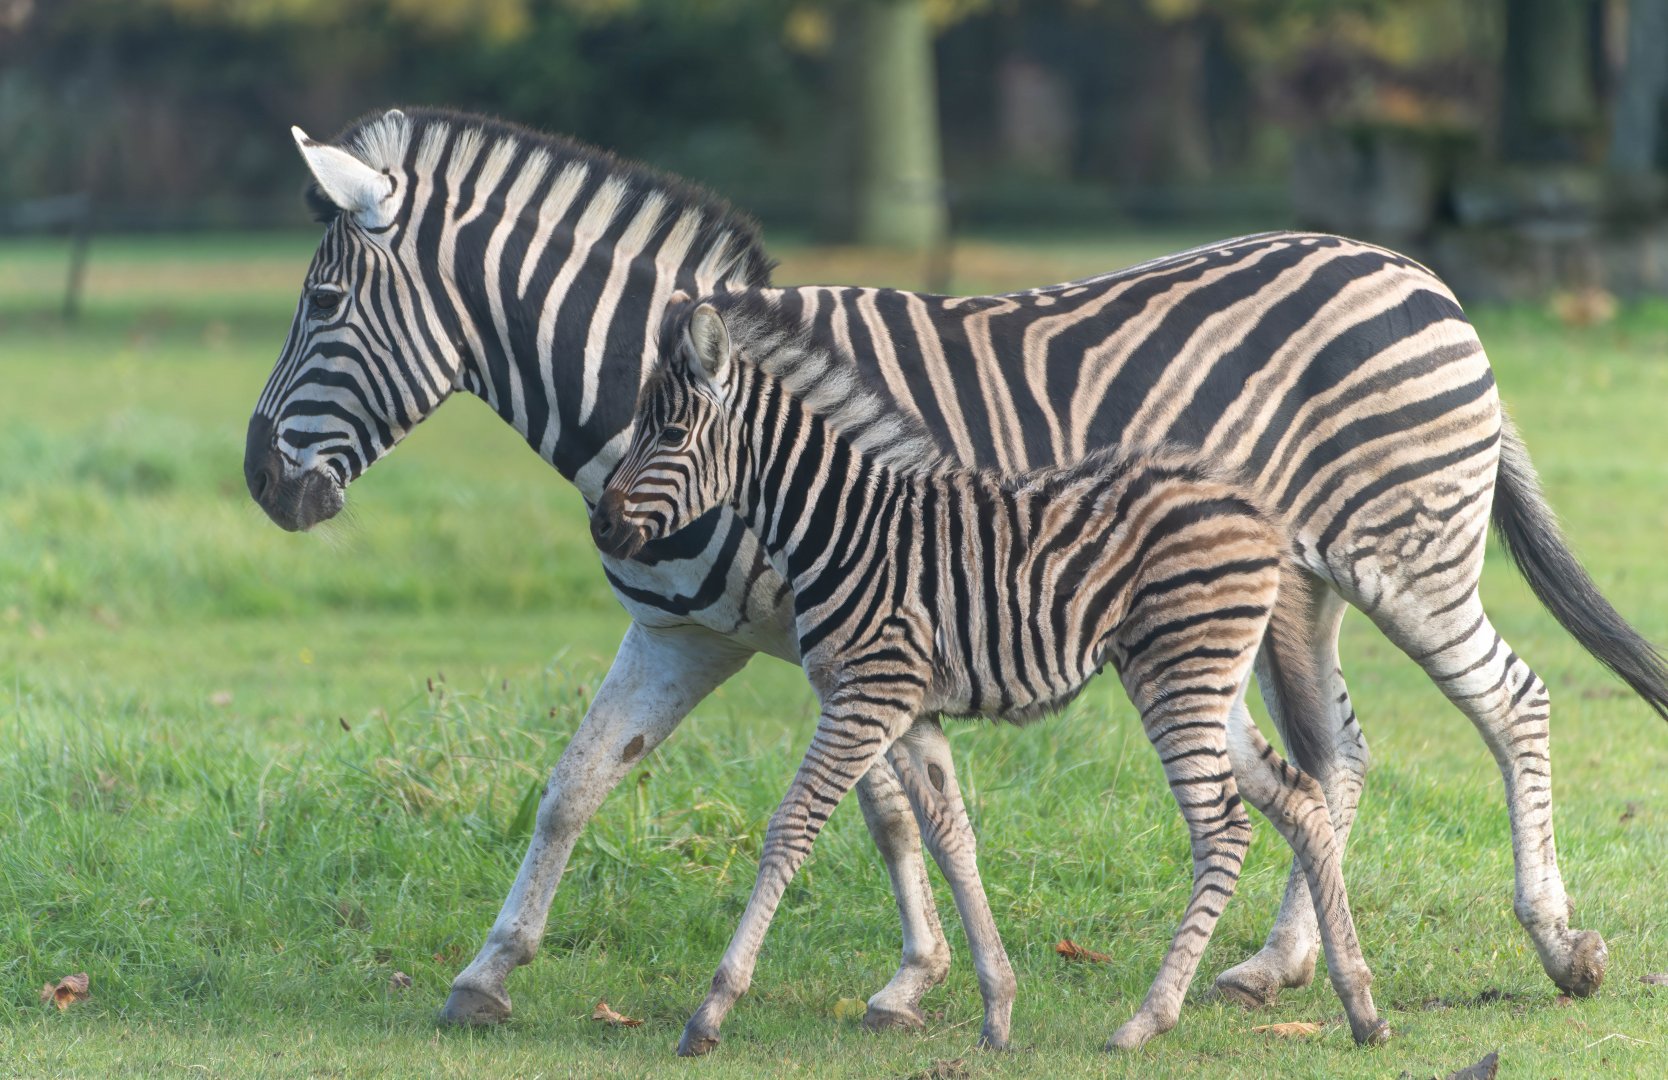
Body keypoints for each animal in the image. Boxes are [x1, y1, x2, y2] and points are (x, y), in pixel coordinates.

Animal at [591, 296, 1391, 1053]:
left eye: (670, 435)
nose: (601, 527)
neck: (838, 527)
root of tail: (1257, 507)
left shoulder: (867, 693)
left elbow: (792, 826)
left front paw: (711, 1011)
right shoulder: (910, 709)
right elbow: (951, 837)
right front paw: (997, 1009)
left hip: (1180, 674)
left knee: (1222, 827)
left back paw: (1149, 1018)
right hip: (1207, 680)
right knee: (1298, 800)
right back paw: (1359, 1004)